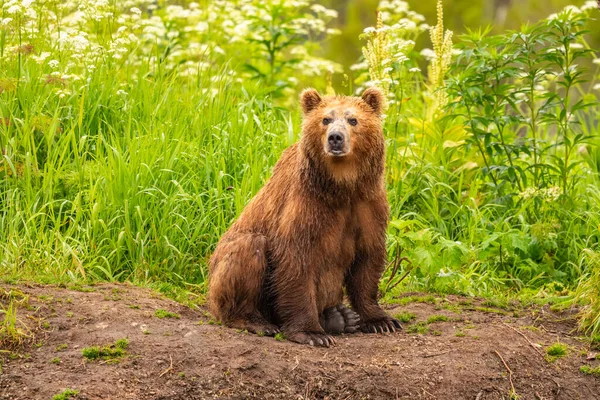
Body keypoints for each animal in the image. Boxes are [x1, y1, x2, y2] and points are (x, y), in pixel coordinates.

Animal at [209, 87, 400, 346]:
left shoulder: (368, 206)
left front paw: (381, 321)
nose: (335, 137)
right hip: (223, 270)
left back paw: (340, 317)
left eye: (353, 120)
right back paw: (256, 321)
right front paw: (312, 333)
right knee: (248, 249)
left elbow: (368, 260)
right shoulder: (305, 206)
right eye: (326, 119)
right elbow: (296, 259)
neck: (341, 188)